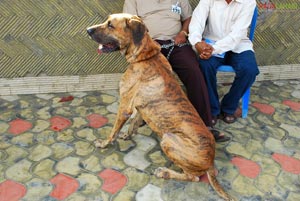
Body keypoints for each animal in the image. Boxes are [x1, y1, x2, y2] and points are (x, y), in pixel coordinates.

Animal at [86, 13, 234, 200]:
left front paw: (104, 143)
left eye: (111, 25)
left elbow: (114, 131)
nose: (87, 30)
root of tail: (211, 162)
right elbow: (134, 122)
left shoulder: (125, 106)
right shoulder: (141, 107)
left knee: (193, 177)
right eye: (107, 20)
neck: (145, 56)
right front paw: (128, 134)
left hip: (168, 139)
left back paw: (165, 172)